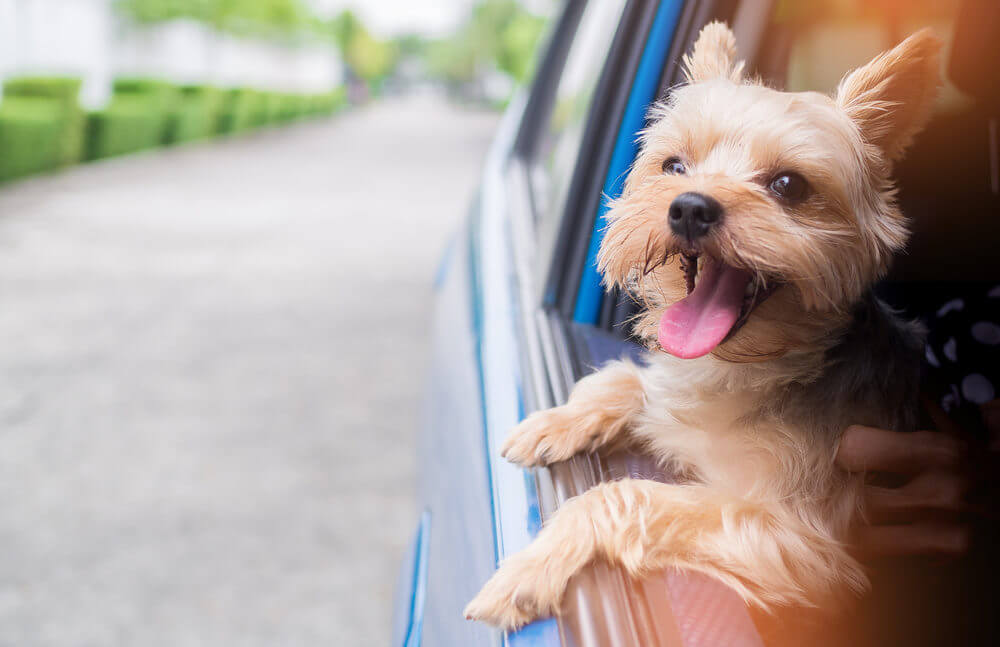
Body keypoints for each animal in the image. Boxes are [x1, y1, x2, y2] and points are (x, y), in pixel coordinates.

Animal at [464, 22, 940, 632]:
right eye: (673, 166)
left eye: (789, 185)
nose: (689, 207)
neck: (746, 370)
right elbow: (625, 380)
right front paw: (554, 421)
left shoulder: (795, 539)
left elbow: (623, 496)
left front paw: (532, 566)